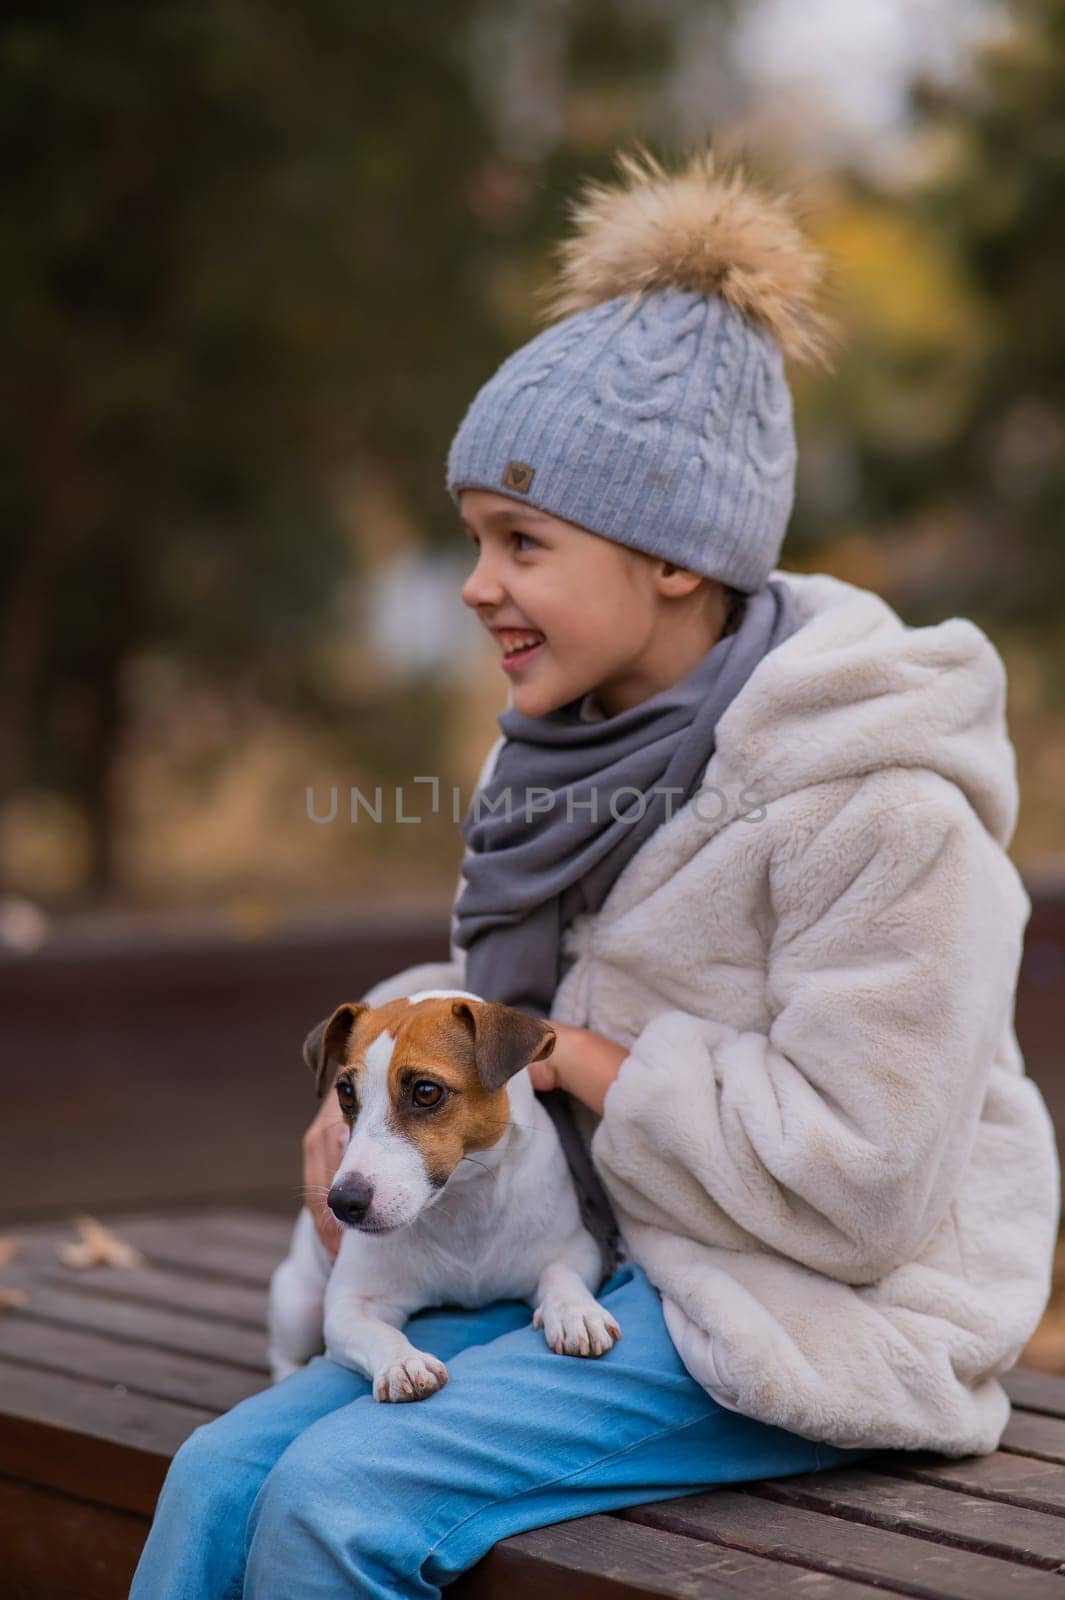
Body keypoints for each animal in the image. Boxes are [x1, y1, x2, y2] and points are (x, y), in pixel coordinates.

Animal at [267, 985, 623, 1401]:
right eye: (345, 1094)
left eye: (425, 1092)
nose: (341, 1203)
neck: (463, 1201)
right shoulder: (349, 1305)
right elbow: (376, 1331)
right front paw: (403, 1362)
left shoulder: (577, 1251)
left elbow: (560, 1274)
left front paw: (575, 1312)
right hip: (297, 1301)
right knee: (284, 1353)